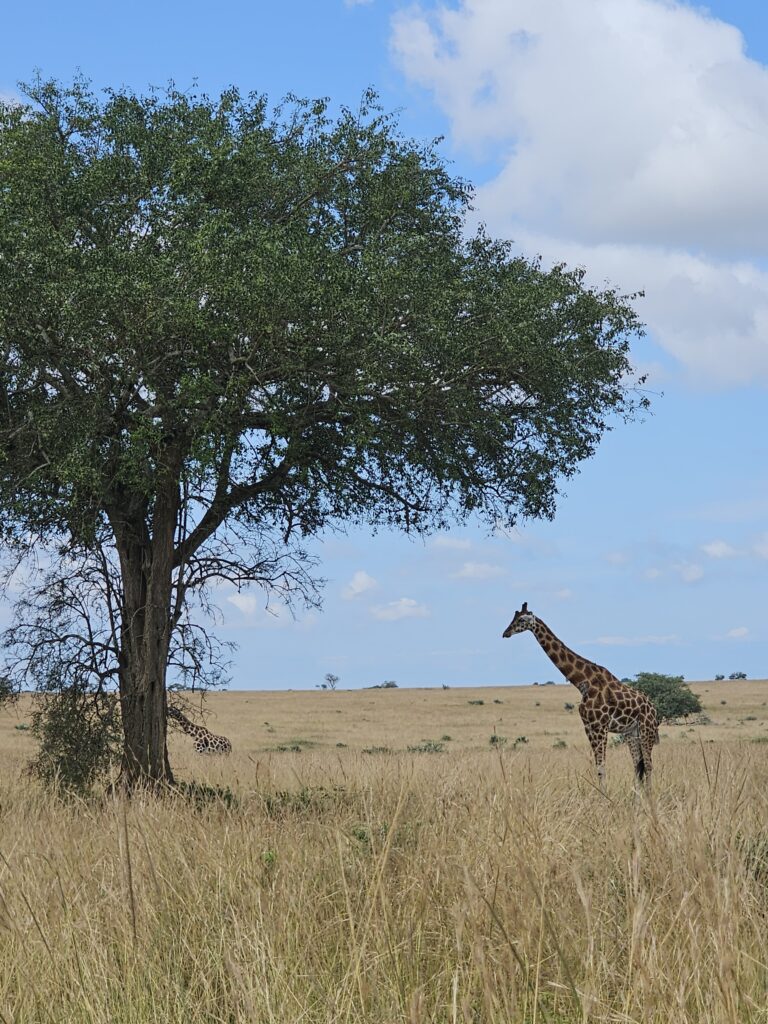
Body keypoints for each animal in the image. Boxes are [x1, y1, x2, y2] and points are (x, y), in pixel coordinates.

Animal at [505, 602, 663, 786]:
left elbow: (602, 767)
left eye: (521, 619)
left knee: (648, 765)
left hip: (647, 730)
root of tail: (654, 709)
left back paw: (649, 794)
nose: (505, 633)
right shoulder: (588, 726)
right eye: (513, 617)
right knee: (638, 766)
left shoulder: (600, 726)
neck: (582, 681)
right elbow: (599, 767)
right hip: (631, 733)